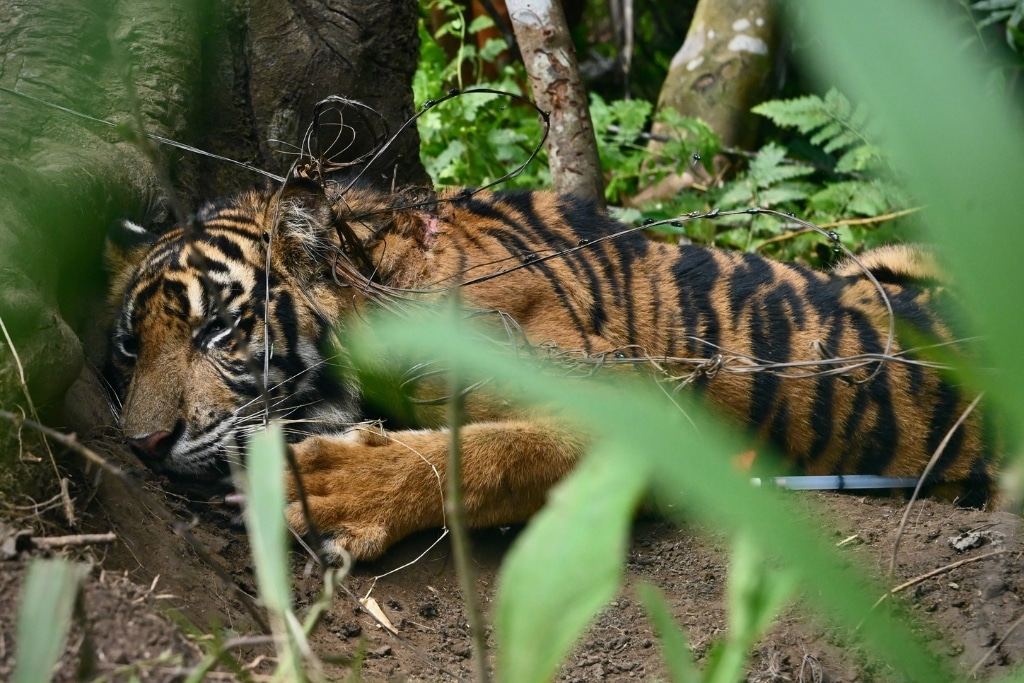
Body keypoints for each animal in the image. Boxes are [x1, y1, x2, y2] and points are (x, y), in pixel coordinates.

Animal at [105, 177, 998, 561]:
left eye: (220, 329)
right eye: (129, 347)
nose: (141, 443)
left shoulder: (650, 404)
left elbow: (485, 452)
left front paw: (323, 486)